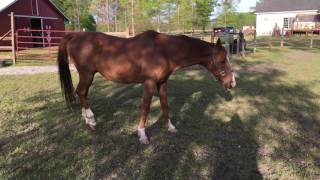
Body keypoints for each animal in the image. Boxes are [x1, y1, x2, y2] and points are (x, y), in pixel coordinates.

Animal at [57, 30, 236, 143]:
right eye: (222, 61)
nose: (232, 83)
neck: (164, 50)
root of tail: (75, 35)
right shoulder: (149, 83)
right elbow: (146, 108)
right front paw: (142, 135)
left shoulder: (162, 82)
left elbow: (165, 104)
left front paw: (170, 127)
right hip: (87, 74)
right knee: (81, 92)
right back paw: (91, 121)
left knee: (82, 93)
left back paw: (86, 119)